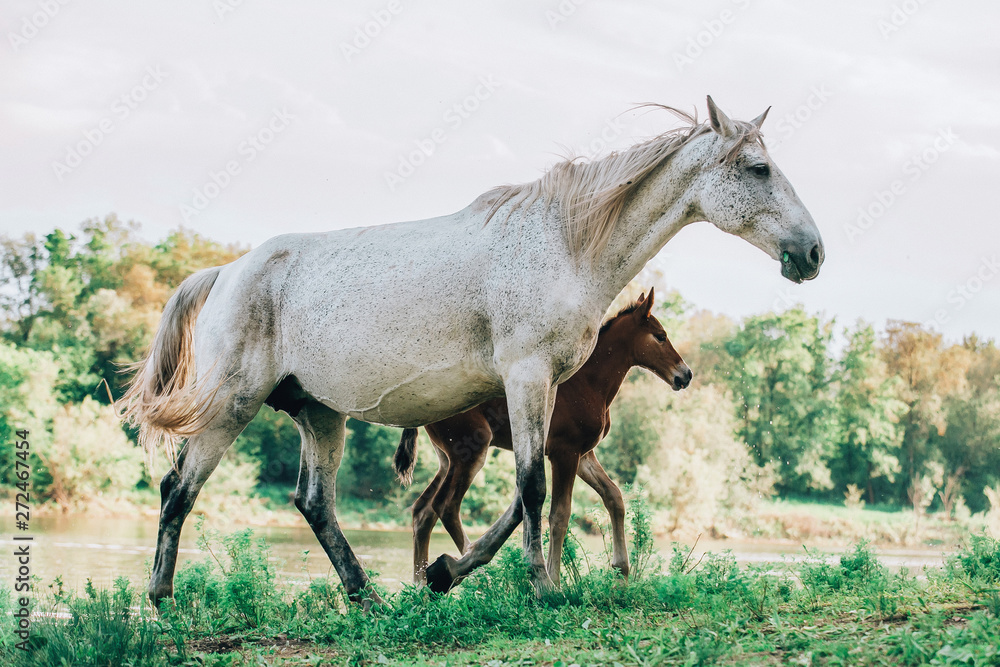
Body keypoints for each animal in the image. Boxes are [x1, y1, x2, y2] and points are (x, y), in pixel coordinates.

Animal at [394, 287, 691, 587]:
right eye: (661, 336)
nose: (685, 375)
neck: (587, 384)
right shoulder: (565, 453)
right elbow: (560, 514)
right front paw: (555, 579)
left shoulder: (584, 455)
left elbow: (614, 497)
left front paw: (621, 570)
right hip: (470, 455)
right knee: (445, 506)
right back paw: (473, 573)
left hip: (447, 461)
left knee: (422, 511)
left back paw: (421, 584)